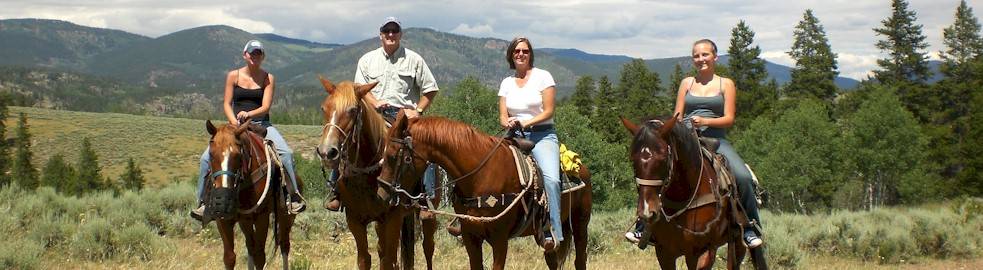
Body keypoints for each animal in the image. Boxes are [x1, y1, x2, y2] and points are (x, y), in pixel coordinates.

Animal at [204, 121, 300, 270]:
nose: (223, 200)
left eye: (238, 155)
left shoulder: (262, 217)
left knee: (284, 245)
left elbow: (260, 257)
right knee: (250, 246)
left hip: (286, 217)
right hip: (246, 221)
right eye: (211, 154)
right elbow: (229, 257)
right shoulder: (223, 219)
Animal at [316, 78, 438, 270]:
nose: (326, 152)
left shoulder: (393, 218)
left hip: (427, 215)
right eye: (324, 108)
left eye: (353, 110)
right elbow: (365, 259)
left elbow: (389, 260)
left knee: (428, 248)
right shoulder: (355, 220)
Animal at [376, 114, 592, 270]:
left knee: (580, 259)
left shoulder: (499, 239)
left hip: (580, 223)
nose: (381, 194)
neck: (480, 175)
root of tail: (581, 168)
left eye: (393, 156)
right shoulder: (470, 236)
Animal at [624, 116, 768, 270]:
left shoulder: (704, 251)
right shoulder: (664, 252)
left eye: (663, 158)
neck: (683, 196)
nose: (647, 211)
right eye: (632, 159)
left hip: (738, 243)